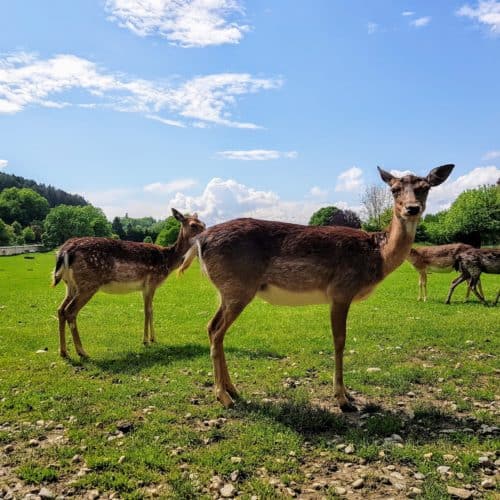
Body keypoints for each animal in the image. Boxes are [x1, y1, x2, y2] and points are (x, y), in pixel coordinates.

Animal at [51, 209, 204, 358]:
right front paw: (146, 340)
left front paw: (153, 339)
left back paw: (63, 352)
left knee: (60, 309)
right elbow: (148, 310)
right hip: (88, 284)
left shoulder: (144, 287)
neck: (167, 261)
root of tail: (64, 251)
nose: (205, 235)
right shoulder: (151, 282)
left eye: (203, 224)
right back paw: (82, 351)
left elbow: (150, 310)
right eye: (193, 225)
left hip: (70, 285)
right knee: (70, 311)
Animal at [180, 164, 454, 410]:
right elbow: (339, 340)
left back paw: (233, 390)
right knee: (216, 330)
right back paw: (223, 397)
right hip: (238, 287)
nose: (412, 208)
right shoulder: (341, 290)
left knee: (212, 328)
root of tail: (199, 241)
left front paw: (348, 395)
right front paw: (343, 399)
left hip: (227, 291)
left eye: (425, 188)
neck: (377, 256)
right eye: (394, 189)